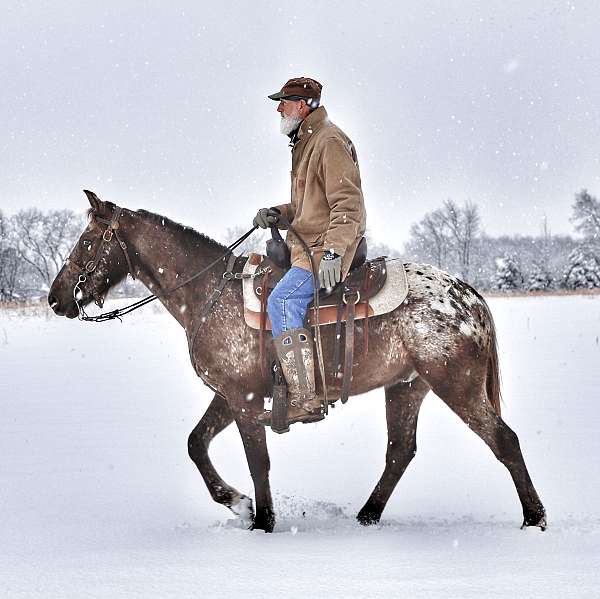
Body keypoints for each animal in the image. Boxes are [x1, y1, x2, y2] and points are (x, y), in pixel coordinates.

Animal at [47, 190, 548, 532]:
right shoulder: (230, 396)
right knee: (399, 451)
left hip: (455, 385)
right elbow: (195, 444)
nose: (55, 298)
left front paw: (262, 521)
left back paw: (534, 518)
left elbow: (258, 461)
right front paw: (238, 503)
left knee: (503, 440)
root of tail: (470, 295)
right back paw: (367, 516)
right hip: (407, 386)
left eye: (88, 241)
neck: (208, 293)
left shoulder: (245, 399)